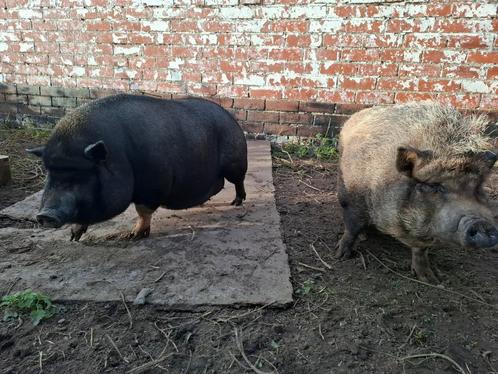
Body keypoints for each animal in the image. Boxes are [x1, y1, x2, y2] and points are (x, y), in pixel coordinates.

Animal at [336, 102, 496, 284]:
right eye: (434, 185)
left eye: (478, 186)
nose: (482, 224)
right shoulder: (354, 200)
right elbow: (352, 227)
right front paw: (341, 255)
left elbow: (421, 250)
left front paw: (430, 279)